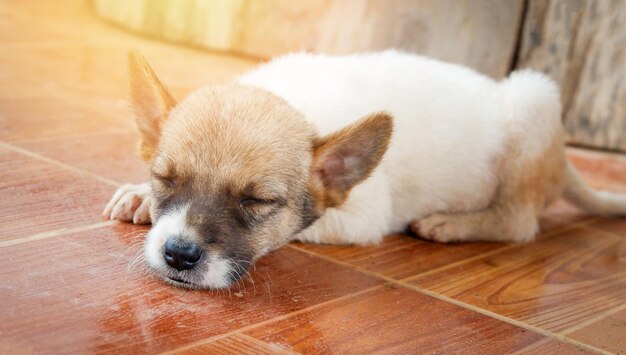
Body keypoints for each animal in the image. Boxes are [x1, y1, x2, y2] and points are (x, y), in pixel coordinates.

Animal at [102, 50, 624, 290]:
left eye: (258, 202)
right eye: (165, 178)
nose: (178, 254)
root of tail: (563, 161)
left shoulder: (362, 217)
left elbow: (302, 228)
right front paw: (139, 196)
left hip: (531, 103)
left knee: (519, 222)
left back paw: (451, 224)